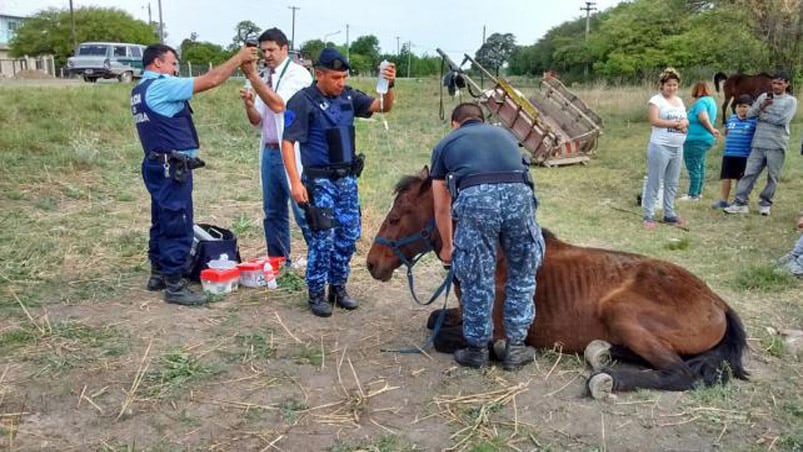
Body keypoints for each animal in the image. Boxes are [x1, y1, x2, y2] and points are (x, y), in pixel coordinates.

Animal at [368, 169, 752, 400]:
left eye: (396, 217)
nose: (373, 263)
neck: (497, 254)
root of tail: (717, 301)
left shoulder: (486, 325)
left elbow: (447, 337)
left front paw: (500, 350)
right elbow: (433, 319)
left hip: (621, 312)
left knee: (678, 373)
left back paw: (607, 379)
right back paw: (602, 353)